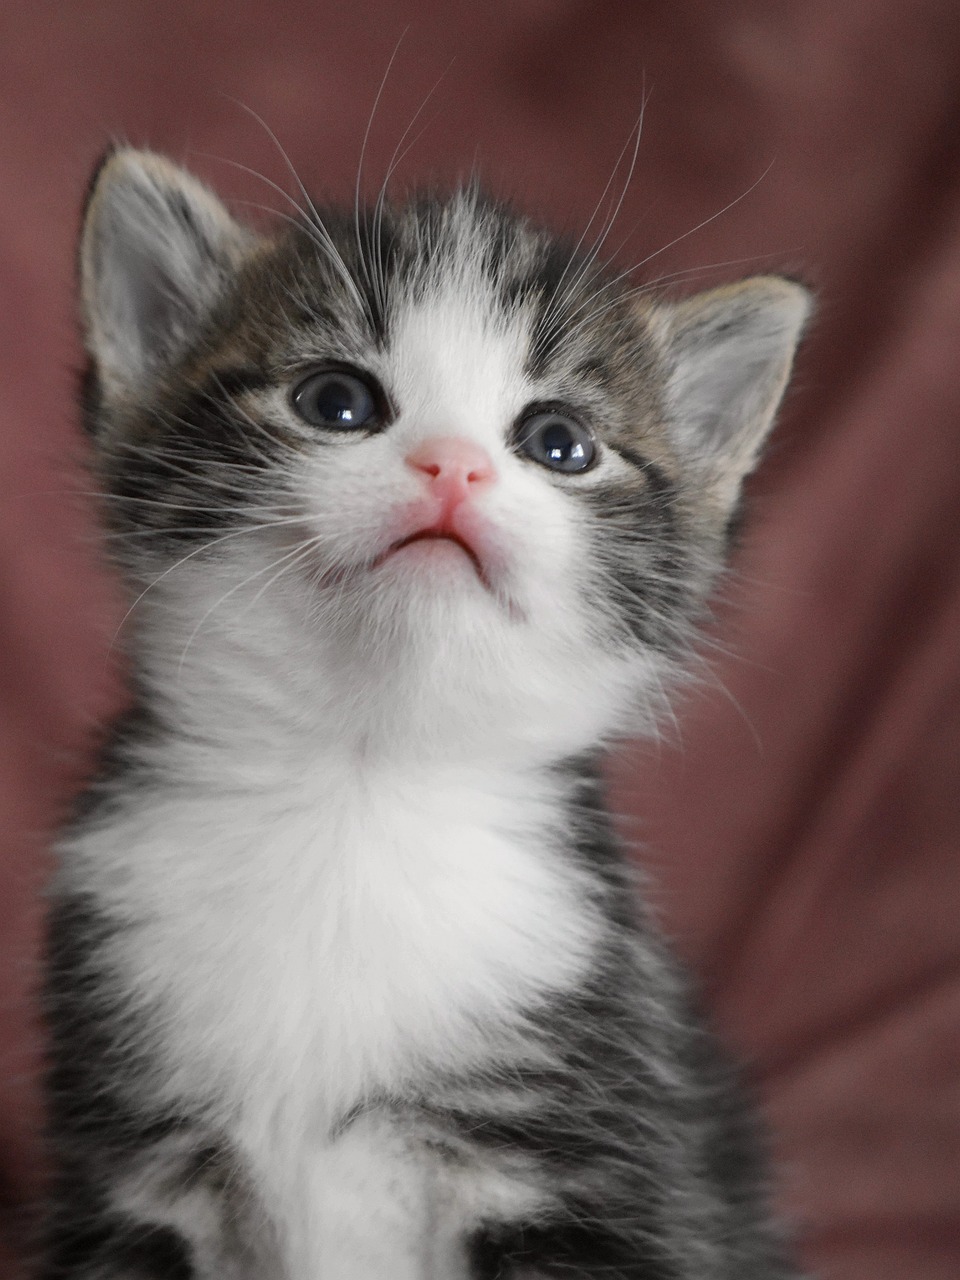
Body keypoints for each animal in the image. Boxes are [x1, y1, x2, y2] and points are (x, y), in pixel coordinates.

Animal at [43, 149, 814, 1280]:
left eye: (559, 442)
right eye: (336, 400)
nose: (454, 464)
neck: (359, 789)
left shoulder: (602, 1159)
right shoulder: (125, 1172)